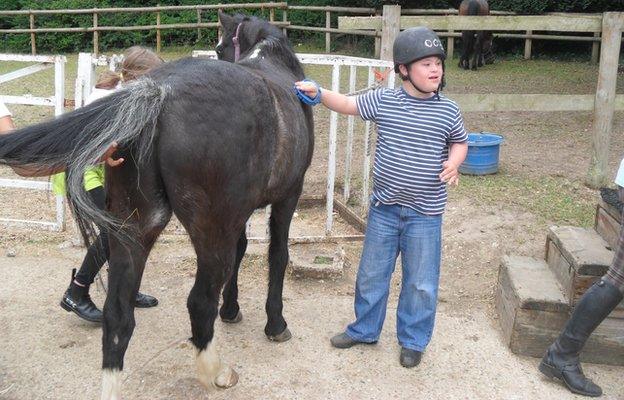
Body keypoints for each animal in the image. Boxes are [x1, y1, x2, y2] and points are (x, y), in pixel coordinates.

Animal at [0, 10, 314, 398]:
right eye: (218, 48)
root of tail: (158, 94)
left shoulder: (241, 214)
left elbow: (244, 251)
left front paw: (232, 309)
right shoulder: (287, 197)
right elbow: (278, 256)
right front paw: (275, 323)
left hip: (134, 228)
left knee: (118, 315)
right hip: (210, 234)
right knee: (199, 302)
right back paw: (217, 372)